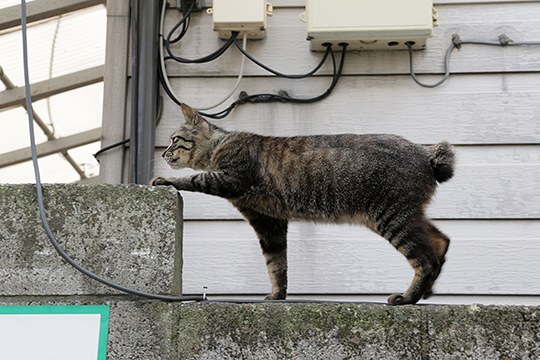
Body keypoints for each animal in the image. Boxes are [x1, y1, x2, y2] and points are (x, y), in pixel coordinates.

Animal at [152, 103, 456, 304]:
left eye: (174, 140)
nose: (164, 153)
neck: (219, 145)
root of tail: (424, 150)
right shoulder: (267, 220)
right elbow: (276, 263)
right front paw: (278, 295)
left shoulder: (230, 179)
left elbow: (194, 178)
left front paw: (166, 179)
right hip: (405, 214)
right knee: (441, 240)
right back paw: (426, 290)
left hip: (393, 216)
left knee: (425, 259)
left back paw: (407, 298)